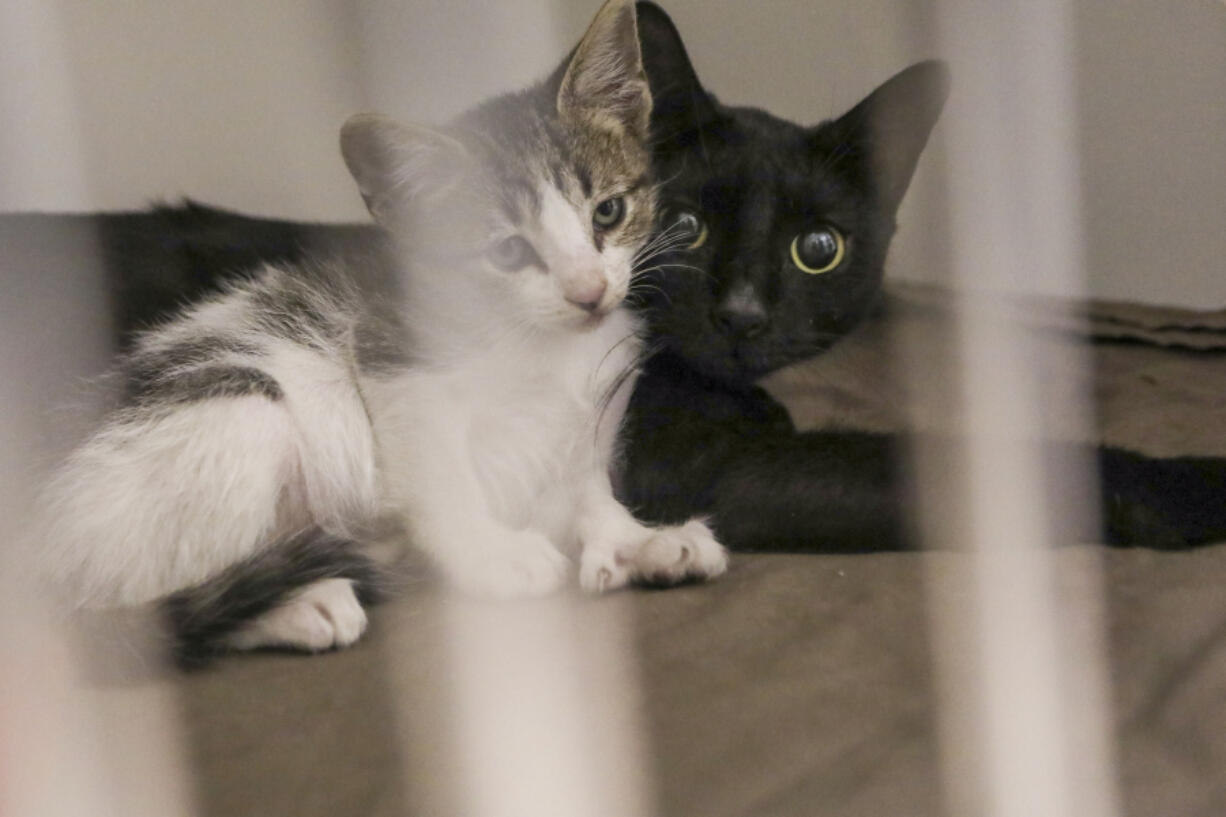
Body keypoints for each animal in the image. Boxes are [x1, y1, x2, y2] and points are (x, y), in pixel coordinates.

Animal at [35, 1, 725, 662]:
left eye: (608, 211)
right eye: (508, 252)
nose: (588, 293)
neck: (546, 344)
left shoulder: (589, 414)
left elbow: (586, 488)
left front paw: (635, 541)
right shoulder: (397, 364)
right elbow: (443, 476)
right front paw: (493, 555)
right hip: (241, 407)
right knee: (126, 619)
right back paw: (298, 604)